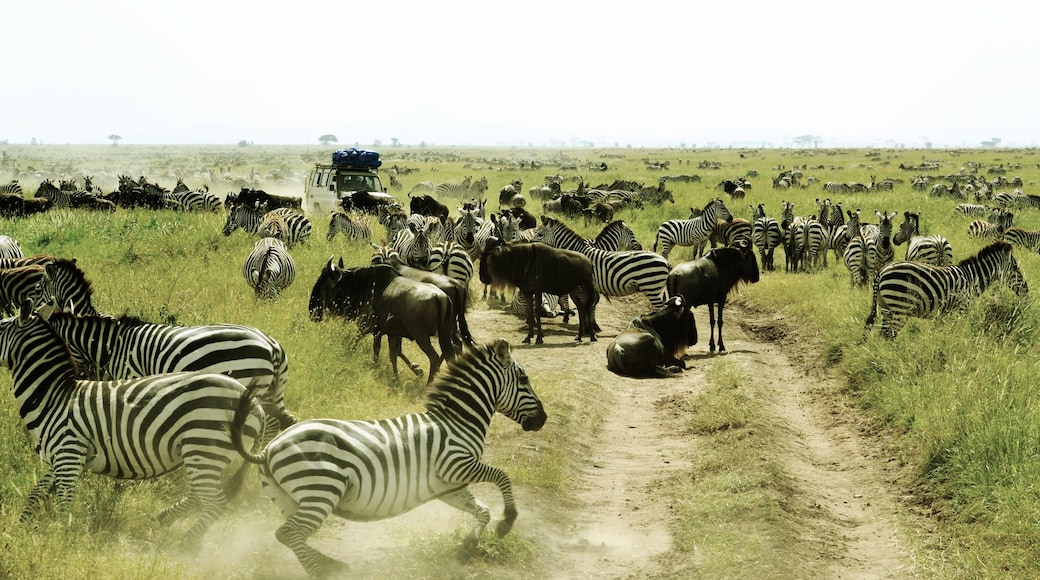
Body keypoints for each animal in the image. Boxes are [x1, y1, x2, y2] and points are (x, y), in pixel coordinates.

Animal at [230, 338, 549, 577]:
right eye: (524, 379)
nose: (543, 420)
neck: (457, 421)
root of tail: (270, 448)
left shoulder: (449, 486)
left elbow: (482, 510)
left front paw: (465, 550)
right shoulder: (455, 465)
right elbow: (502, 476)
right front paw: (508, 521)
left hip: (289, 498)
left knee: (289, 535)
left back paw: (329, 566)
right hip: (321, 490)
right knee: (290, 534)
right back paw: (326, 571)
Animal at [865, 242, 1027, 340]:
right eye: (1016, 267)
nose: (1026, 290)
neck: (972, 277)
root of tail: (882, 271)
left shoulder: (945, 312)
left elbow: (939, 331)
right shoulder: (962, 308)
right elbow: (957, 330)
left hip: (886, 307)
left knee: (883, 334)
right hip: (900, 308)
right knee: (889, 335)